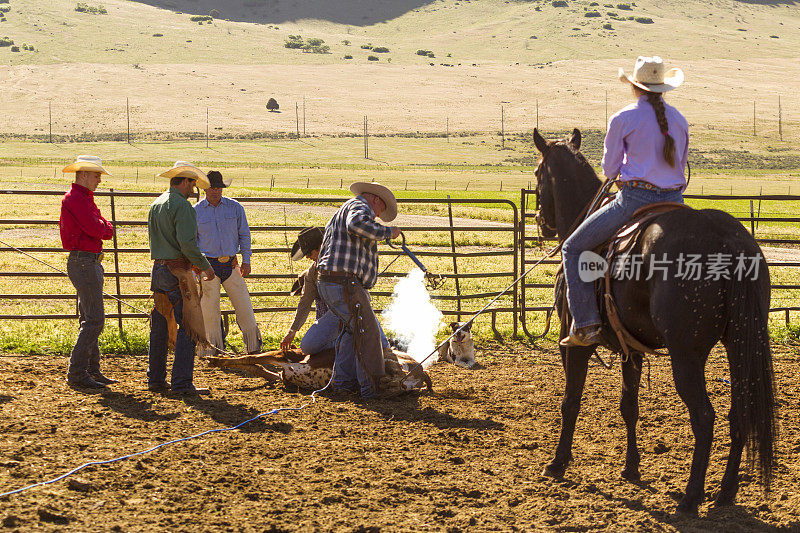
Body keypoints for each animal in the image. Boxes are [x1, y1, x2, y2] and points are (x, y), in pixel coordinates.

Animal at [532, 129, 776, 516]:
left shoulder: (573, 344)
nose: (542, 221)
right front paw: (631, 468)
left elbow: (570, 402)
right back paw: (724, 493)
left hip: (686, 354)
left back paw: (691, 497)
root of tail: (727, 240)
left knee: (705, 418)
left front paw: (557, 463)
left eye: (539, 173)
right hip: (740, 344)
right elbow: (628, 406)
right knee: (738, 414)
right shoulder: (631, 349)